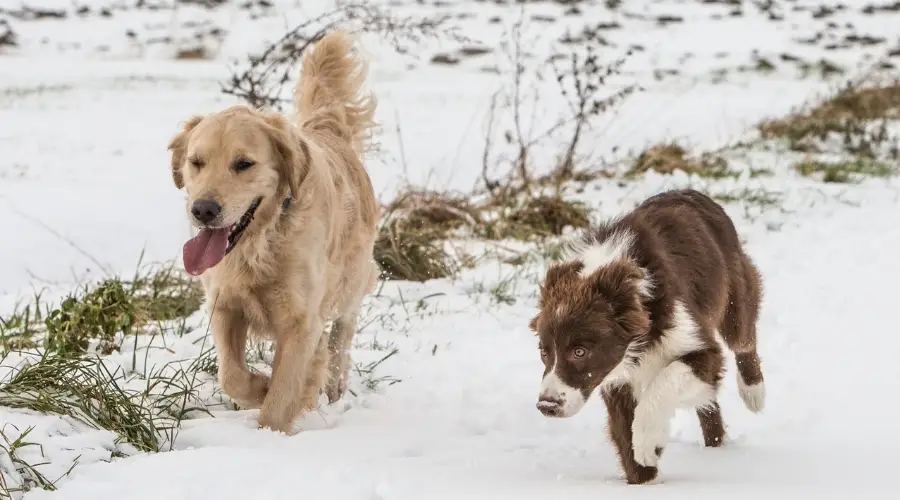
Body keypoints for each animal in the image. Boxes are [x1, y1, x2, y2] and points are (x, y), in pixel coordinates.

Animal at [166, 30, 380, 434]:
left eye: (243, 164)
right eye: (196, 162)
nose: (203, 210)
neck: (259, 243)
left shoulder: (300, 319)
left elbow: (281, 398)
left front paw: (271, 432)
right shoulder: (225, 304)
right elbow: (231, 376)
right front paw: (260, 387)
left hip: (352, 280)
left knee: (342, 334)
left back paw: (332, 383)